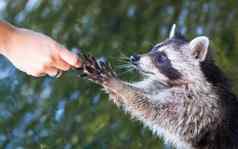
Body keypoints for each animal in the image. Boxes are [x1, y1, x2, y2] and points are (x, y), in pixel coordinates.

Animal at [79, 25, 238, 149]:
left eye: (161, 57)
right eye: (153, 48)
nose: (134, 58)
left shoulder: (197, 106)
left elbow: (153, 110)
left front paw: (120, 87)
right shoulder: (161, 85)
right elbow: (145, 93)